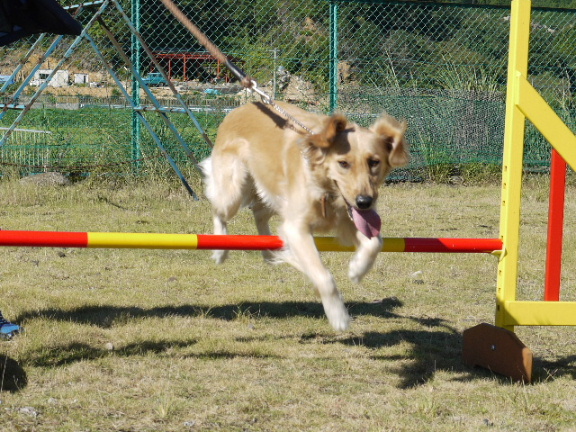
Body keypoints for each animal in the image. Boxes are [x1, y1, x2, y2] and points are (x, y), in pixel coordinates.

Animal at [202, 101, 410, 330]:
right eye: (343, 163)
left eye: (374, 162)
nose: (365, 202)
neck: (326, 191)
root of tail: (242, 106)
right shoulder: (297, 228)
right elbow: (323, 276)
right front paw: (338, 316)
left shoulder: (348, 220)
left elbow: (375, 242)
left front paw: (357, 269)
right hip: (233, 192)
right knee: (218, 209)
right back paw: (220, 250)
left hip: (275, 195)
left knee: (260, 213)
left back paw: (272, 252)